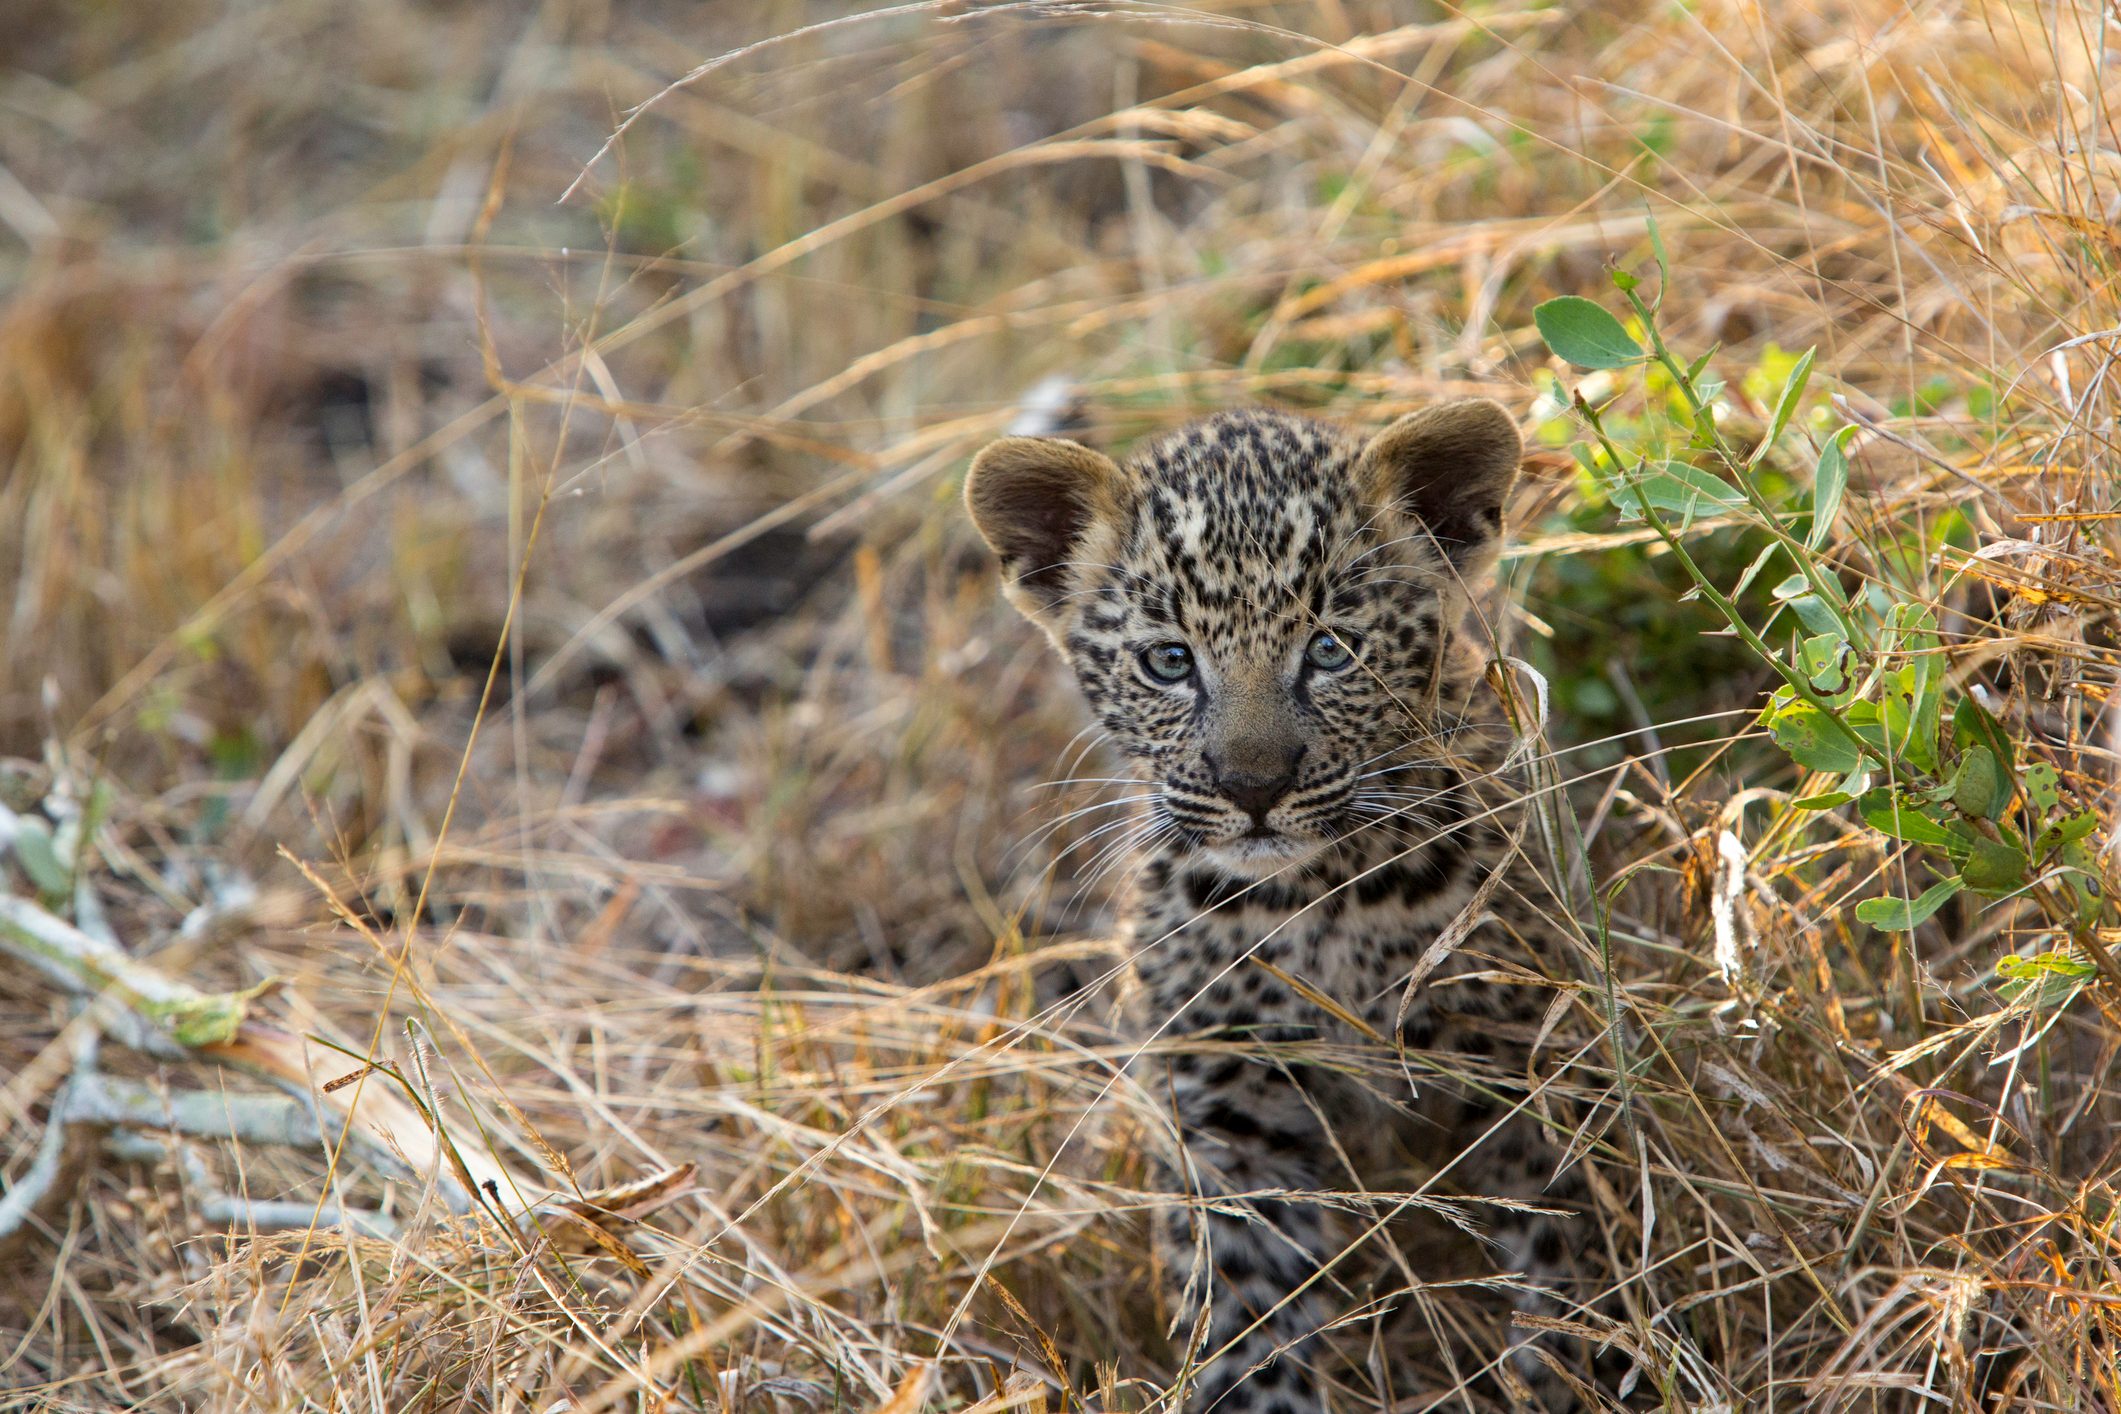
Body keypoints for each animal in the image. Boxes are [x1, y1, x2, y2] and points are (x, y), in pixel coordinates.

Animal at [965, 400, 1610, 1413]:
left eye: (1330, 650)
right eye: (1168, 662)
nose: (1252, 787)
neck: (1317, 904)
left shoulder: (1524, 1066)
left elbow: (1562, 1247)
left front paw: (1569, 1373)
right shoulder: (1227, 1117)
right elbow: (1244, 1313)